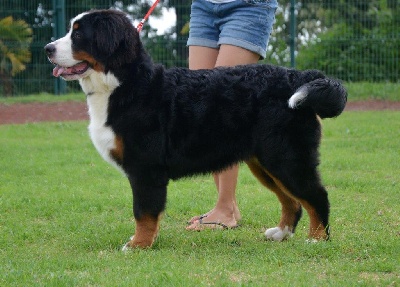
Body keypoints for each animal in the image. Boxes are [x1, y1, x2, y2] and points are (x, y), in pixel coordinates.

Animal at [45, 9, 346, 250]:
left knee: (316, 196)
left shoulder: (145, 167)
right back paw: (281, 233)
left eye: (78, 34)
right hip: (265, 161)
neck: (125, 83)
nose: (48, 48)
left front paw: (138, 245)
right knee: (292, 201)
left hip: (286, 157)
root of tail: (299, 76)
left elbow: (143, 211)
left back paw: (317, 240)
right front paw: (145, 242)